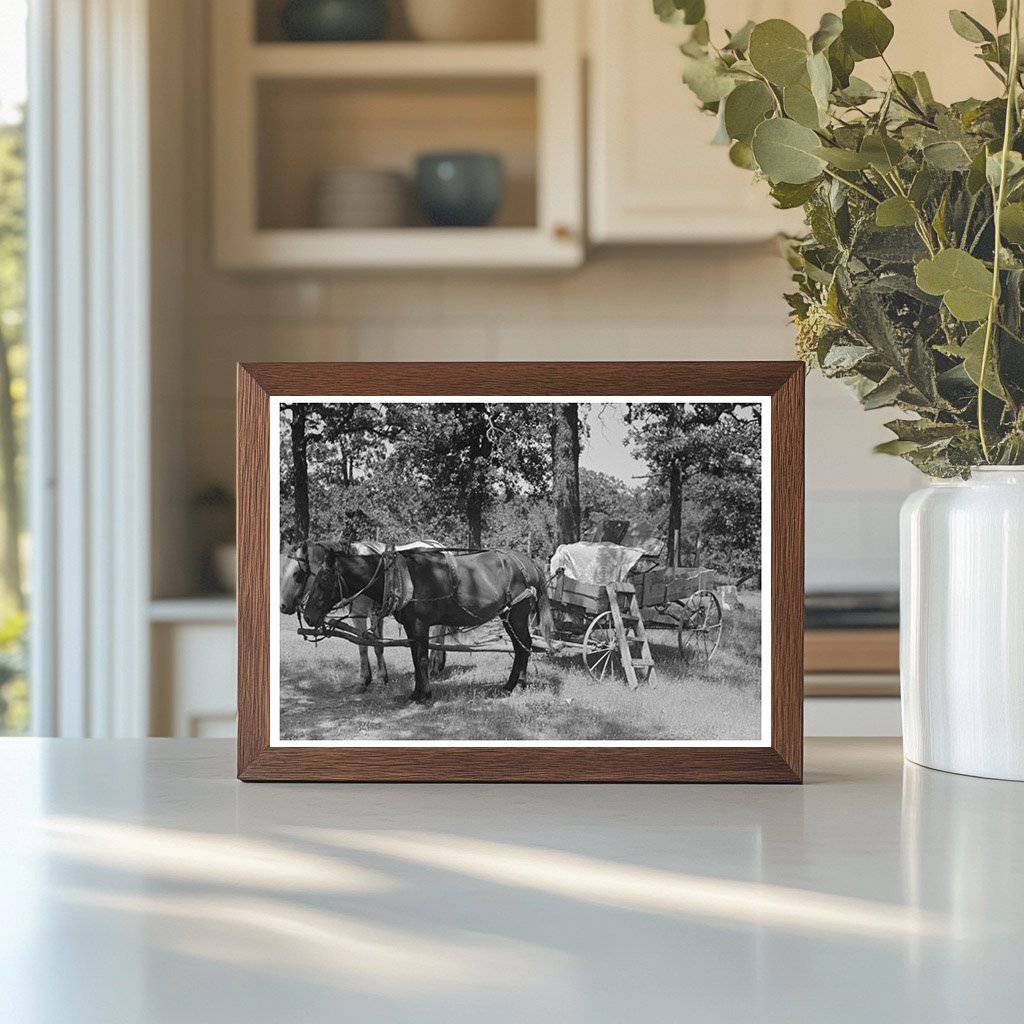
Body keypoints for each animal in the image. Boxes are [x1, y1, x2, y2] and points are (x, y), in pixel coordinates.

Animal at [299, 544, 557, 704]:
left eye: (323, 581)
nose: (309, 615)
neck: (400, 578)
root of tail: (528, 563)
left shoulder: (420, 625)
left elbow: (422, 659)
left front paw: (425, 695)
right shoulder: (412, 628)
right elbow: (415, 658)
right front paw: (416, 693)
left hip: (517, 614)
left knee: (523, 646)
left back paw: (513, 686)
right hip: (509, 616)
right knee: (521, 647)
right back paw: (517, 684)